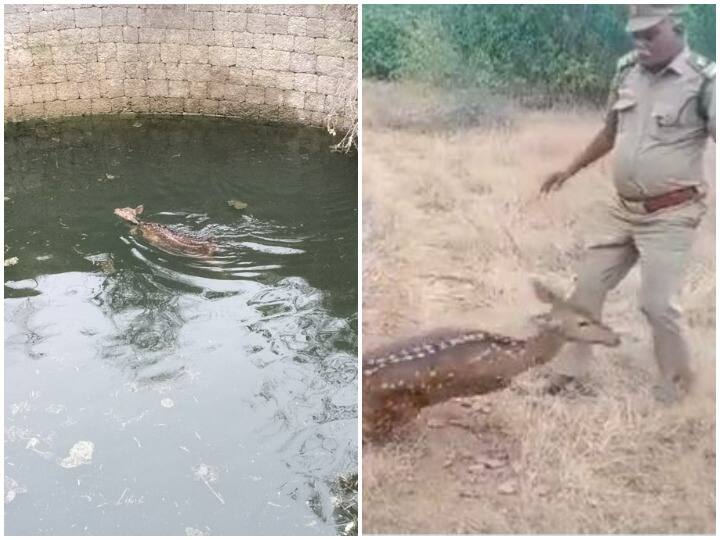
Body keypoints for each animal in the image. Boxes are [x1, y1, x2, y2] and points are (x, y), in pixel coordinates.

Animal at [362, 280, 621, 440]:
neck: (516, 354)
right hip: (396, 409)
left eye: (590, 312)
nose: (616, 338)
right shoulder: (494, 380)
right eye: (582, 323)